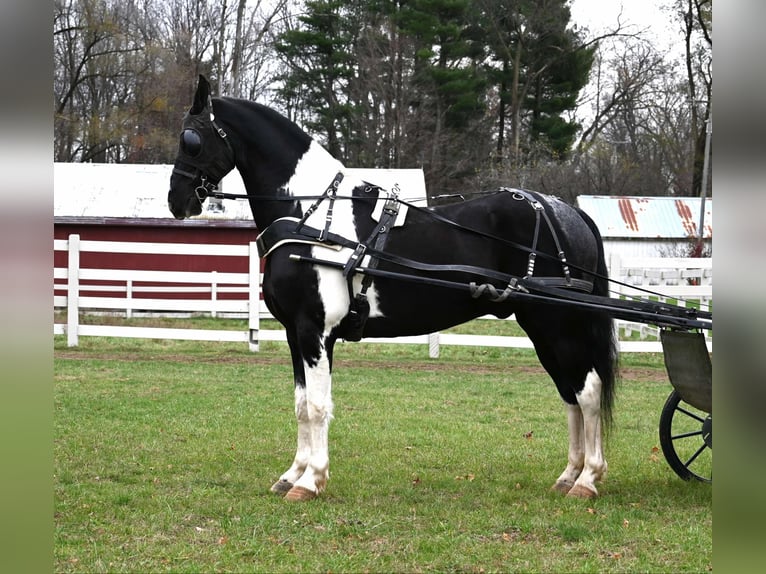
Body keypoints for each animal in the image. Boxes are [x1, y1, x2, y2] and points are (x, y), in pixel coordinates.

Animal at [166, 77, 616, 504]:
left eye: (191, 138)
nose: (176, 200)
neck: (311, 217)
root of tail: (565, 211)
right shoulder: (297, 333)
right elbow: (301, 405)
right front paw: (292, 474)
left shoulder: (315, 331)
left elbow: (318, 406)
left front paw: (311, 481)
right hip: (542, 328)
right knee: (569, 393)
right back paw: (569, 475)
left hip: (557, 325)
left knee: (587, 391)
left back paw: (588, 480)